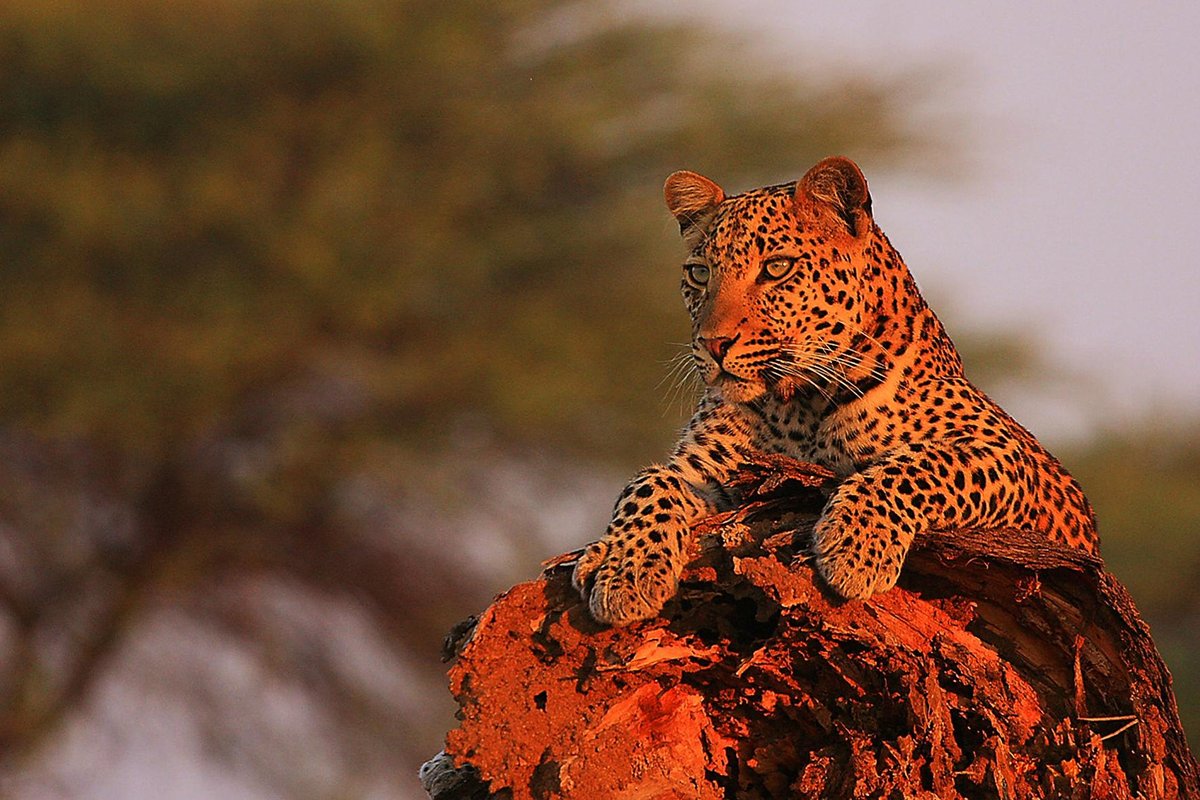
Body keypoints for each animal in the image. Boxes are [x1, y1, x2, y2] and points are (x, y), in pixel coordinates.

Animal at [571, 154, 1099, 623]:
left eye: (776, 268)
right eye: (700, 274)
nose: (713, 343)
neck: (795, 404)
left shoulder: (1007, 452)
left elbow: (915, 466)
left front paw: (855, 546)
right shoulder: (715, 475)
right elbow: (648, 481)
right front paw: (622, 566)